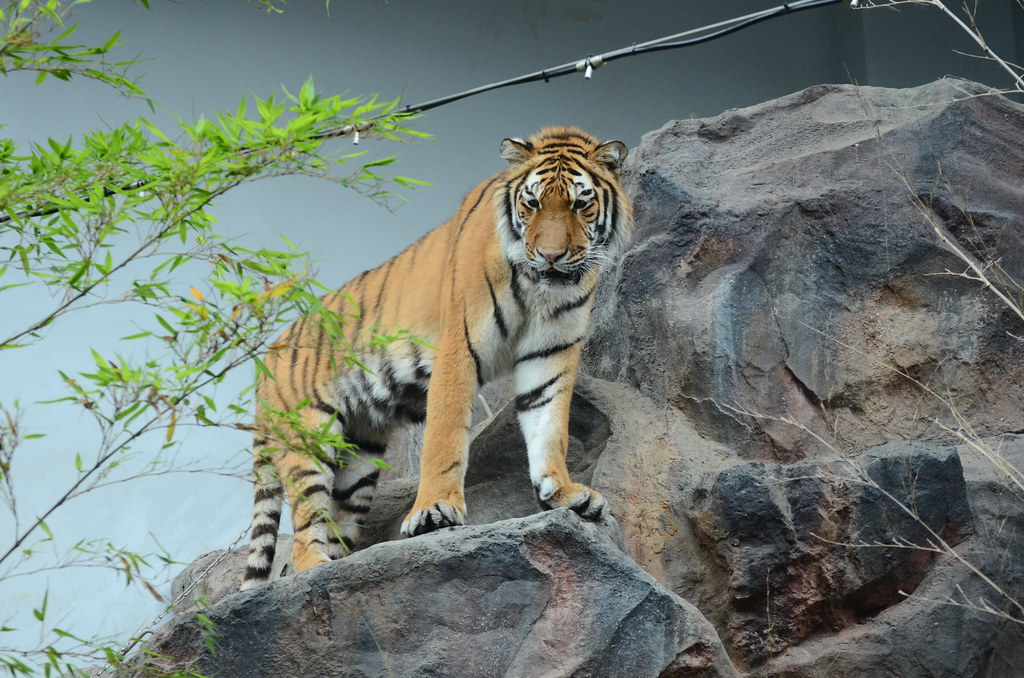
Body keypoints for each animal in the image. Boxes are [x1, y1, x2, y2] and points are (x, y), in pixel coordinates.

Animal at [240, 126, 634, 591]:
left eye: (580, 203)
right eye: (533, 203)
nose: (551, 256)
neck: (540, 288)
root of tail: (264, 364)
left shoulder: (549, 354)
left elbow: (549, 426)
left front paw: (564, 494)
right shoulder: (457, 348)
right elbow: (444, 437)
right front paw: (434, 512)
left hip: (358, 461)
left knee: (336, 523)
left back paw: (338, 569)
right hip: (309, 442)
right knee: (303, 529)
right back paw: (315, 569)